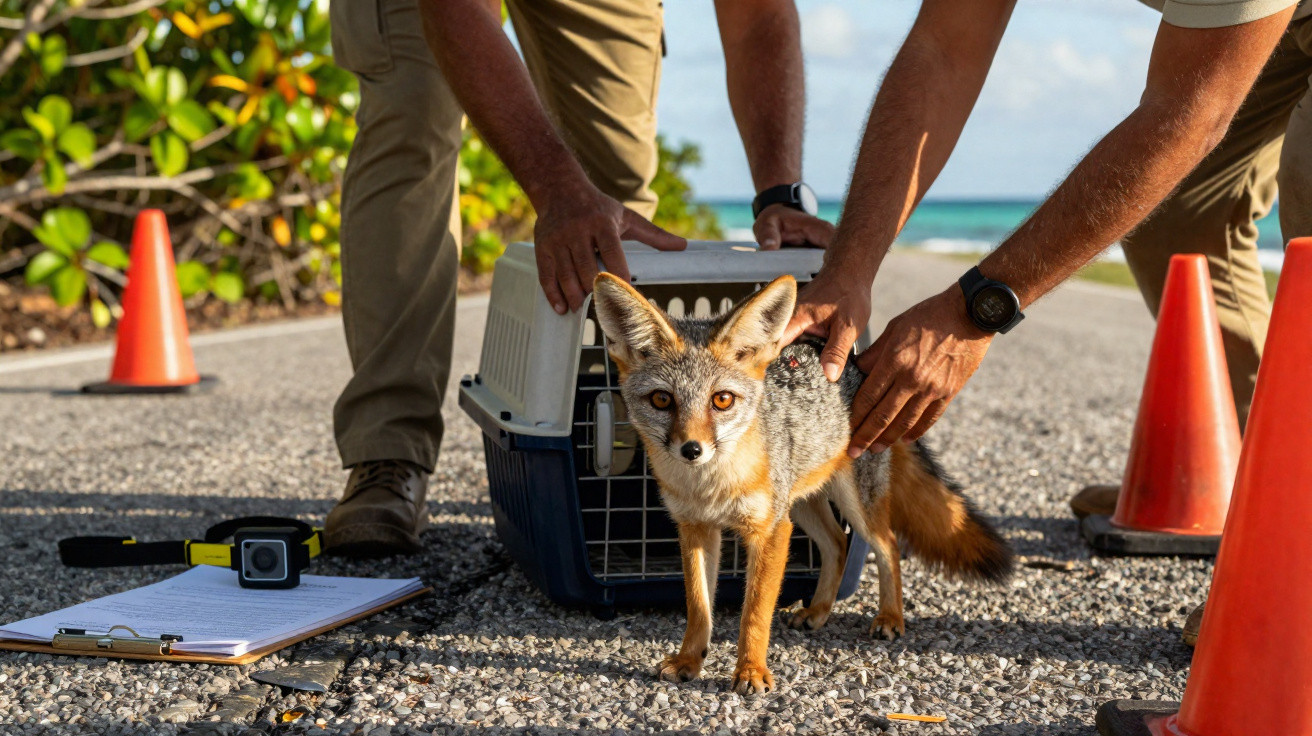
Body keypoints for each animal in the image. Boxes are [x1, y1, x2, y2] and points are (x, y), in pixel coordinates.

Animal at [591, 271, 1013, 695]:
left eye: (722, 400)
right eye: (662, 400)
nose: (692, 450)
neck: (711, 486)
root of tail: (856, 364)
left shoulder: (770, 531)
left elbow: (755, 613)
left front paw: (750, 670)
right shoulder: (696, 528)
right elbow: (698, 607)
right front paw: (689, 660)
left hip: (850, 507)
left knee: (888, 545)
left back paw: (890, 617)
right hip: (802, 506)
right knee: (837, 544)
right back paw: (819, 611)